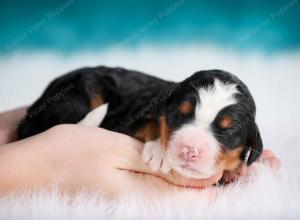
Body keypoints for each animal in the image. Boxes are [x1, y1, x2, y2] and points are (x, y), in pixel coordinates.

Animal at [17, 66, 262, 179]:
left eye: (228, 129)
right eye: (178, 114)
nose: (189, 149)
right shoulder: (124, 120)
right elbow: (150, 123)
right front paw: (159, 151)